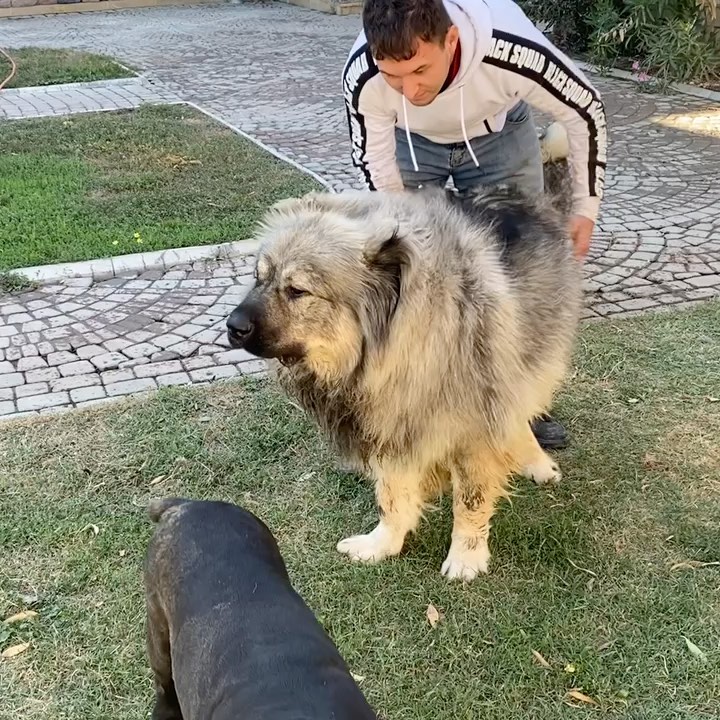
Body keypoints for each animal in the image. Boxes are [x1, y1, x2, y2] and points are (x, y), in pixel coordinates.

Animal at [228, 136, 584, 584]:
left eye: (297, 291)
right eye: (259, 278)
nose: (232, 326)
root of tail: (527, 200)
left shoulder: (472, 427)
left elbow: (470, 499)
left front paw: (467, 555)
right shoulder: (390, 424)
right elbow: (393, 496)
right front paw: (384, 543)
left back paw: (536, 462)